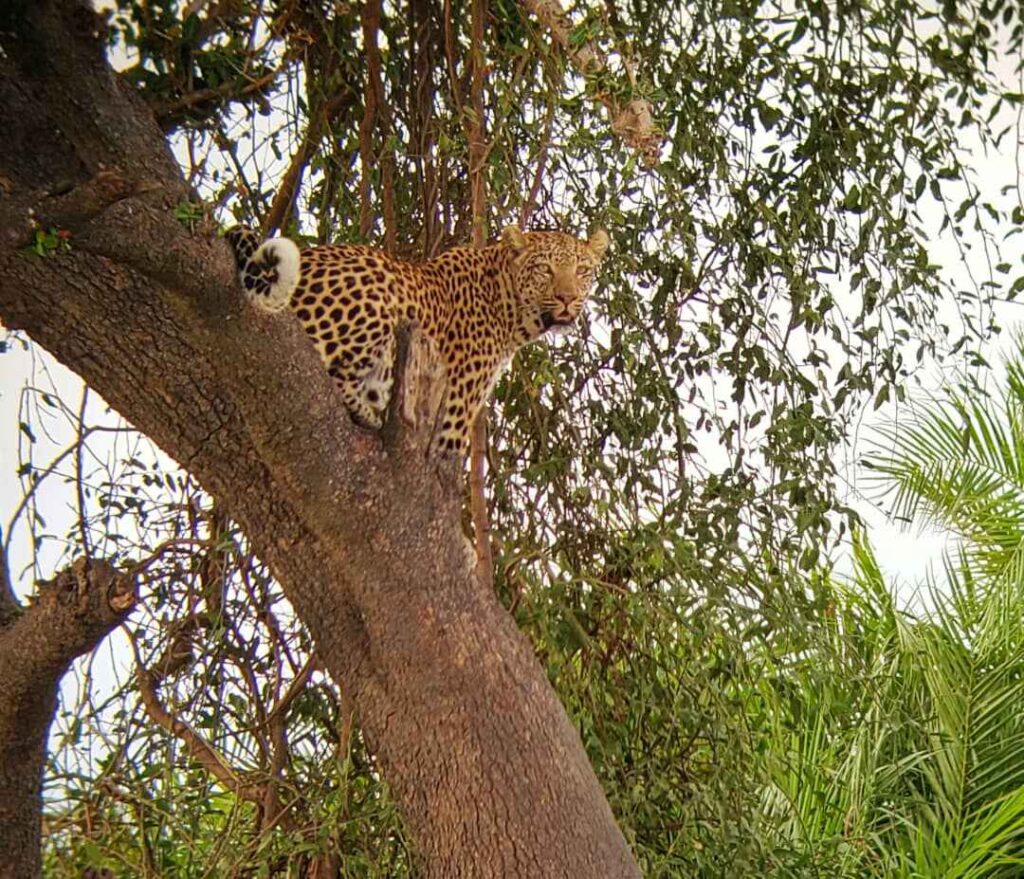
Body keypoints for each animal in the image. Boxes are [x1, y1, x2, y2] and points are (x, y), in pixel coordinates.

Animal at [225, 224, 610, 455]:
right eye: (545, 269)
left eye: (582, 271)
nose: (567, 298)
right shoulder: (456, 411)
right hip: (377, 293)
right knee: (332, 375)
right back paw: (371, 412)